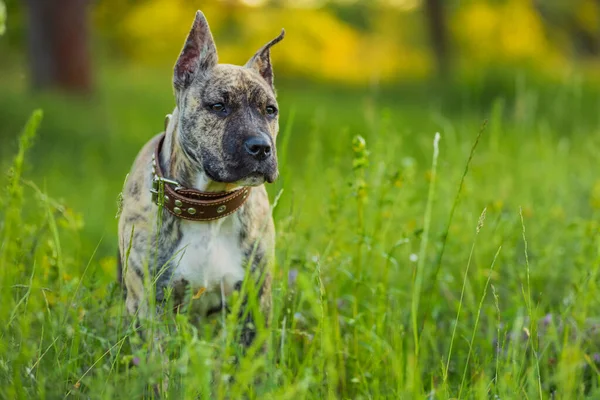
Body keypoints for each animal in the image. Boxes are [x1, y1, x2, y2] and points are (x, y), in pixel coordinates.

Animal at [118, 8, 284, 346]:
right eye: (218, 106)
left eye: (270, 110)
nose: (261, 147)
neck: (208, 203)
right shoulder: (152, 306)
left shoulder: (255, 305)